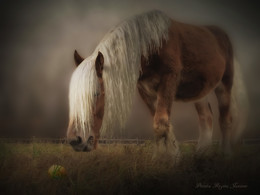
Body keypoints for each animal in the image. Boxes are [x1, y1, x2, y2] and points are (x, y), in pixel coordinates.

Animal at [66, 10, 247, 155]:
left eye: (96, 93)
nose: (77, 140)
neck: (151, 46)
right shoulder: (146, 90)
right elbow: (162, 124)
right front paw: (170, 156)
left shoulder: (168, 82)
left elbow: (160, 123)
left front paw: (165, 161)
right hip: (200, 92)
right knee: (206, 117)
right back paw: (201, 154)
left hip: (224, 85)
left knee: (225, 119)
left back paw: (225, 154)